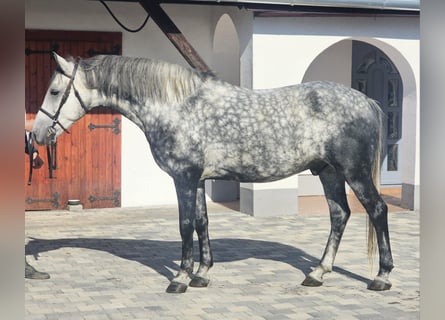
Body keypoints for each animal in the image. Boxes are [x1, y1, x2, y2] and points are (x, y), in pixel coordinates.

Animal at [32, 53, 392, 294]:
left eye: (54, 91)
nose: (36, 134)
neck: (175, 106)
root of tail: (367, 100)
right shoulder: (198, 180)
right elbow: (202, 222)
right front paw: (202, 274)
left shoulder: (184, 177)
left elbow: (185, 224)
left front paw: (180, 278)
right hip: (329, 172)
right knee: (339, 215)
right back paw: (318, 272)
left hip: (354, 172)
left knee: (376, 210)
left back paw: (382, 277)